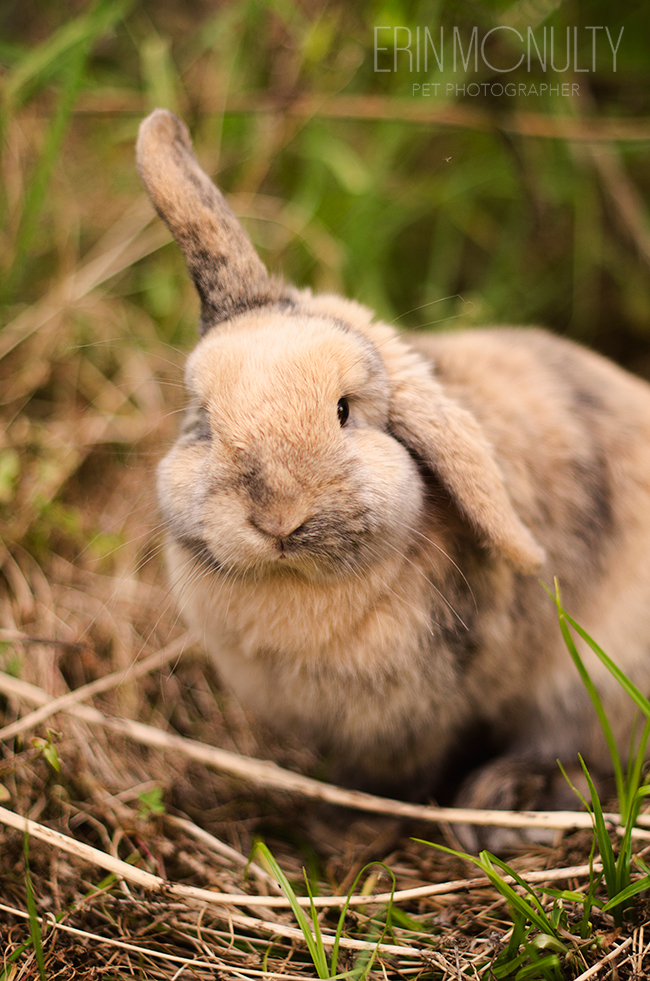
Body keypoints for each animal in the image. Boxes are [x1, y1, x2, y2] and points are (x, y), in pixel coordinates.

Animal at [138, 109, 650, 836]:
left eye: (345, 411)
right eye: (204, 422)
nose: (277, 517)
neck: (298, 584)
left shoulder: (417, 722)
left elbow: (399, 779)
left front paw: (348, 830)